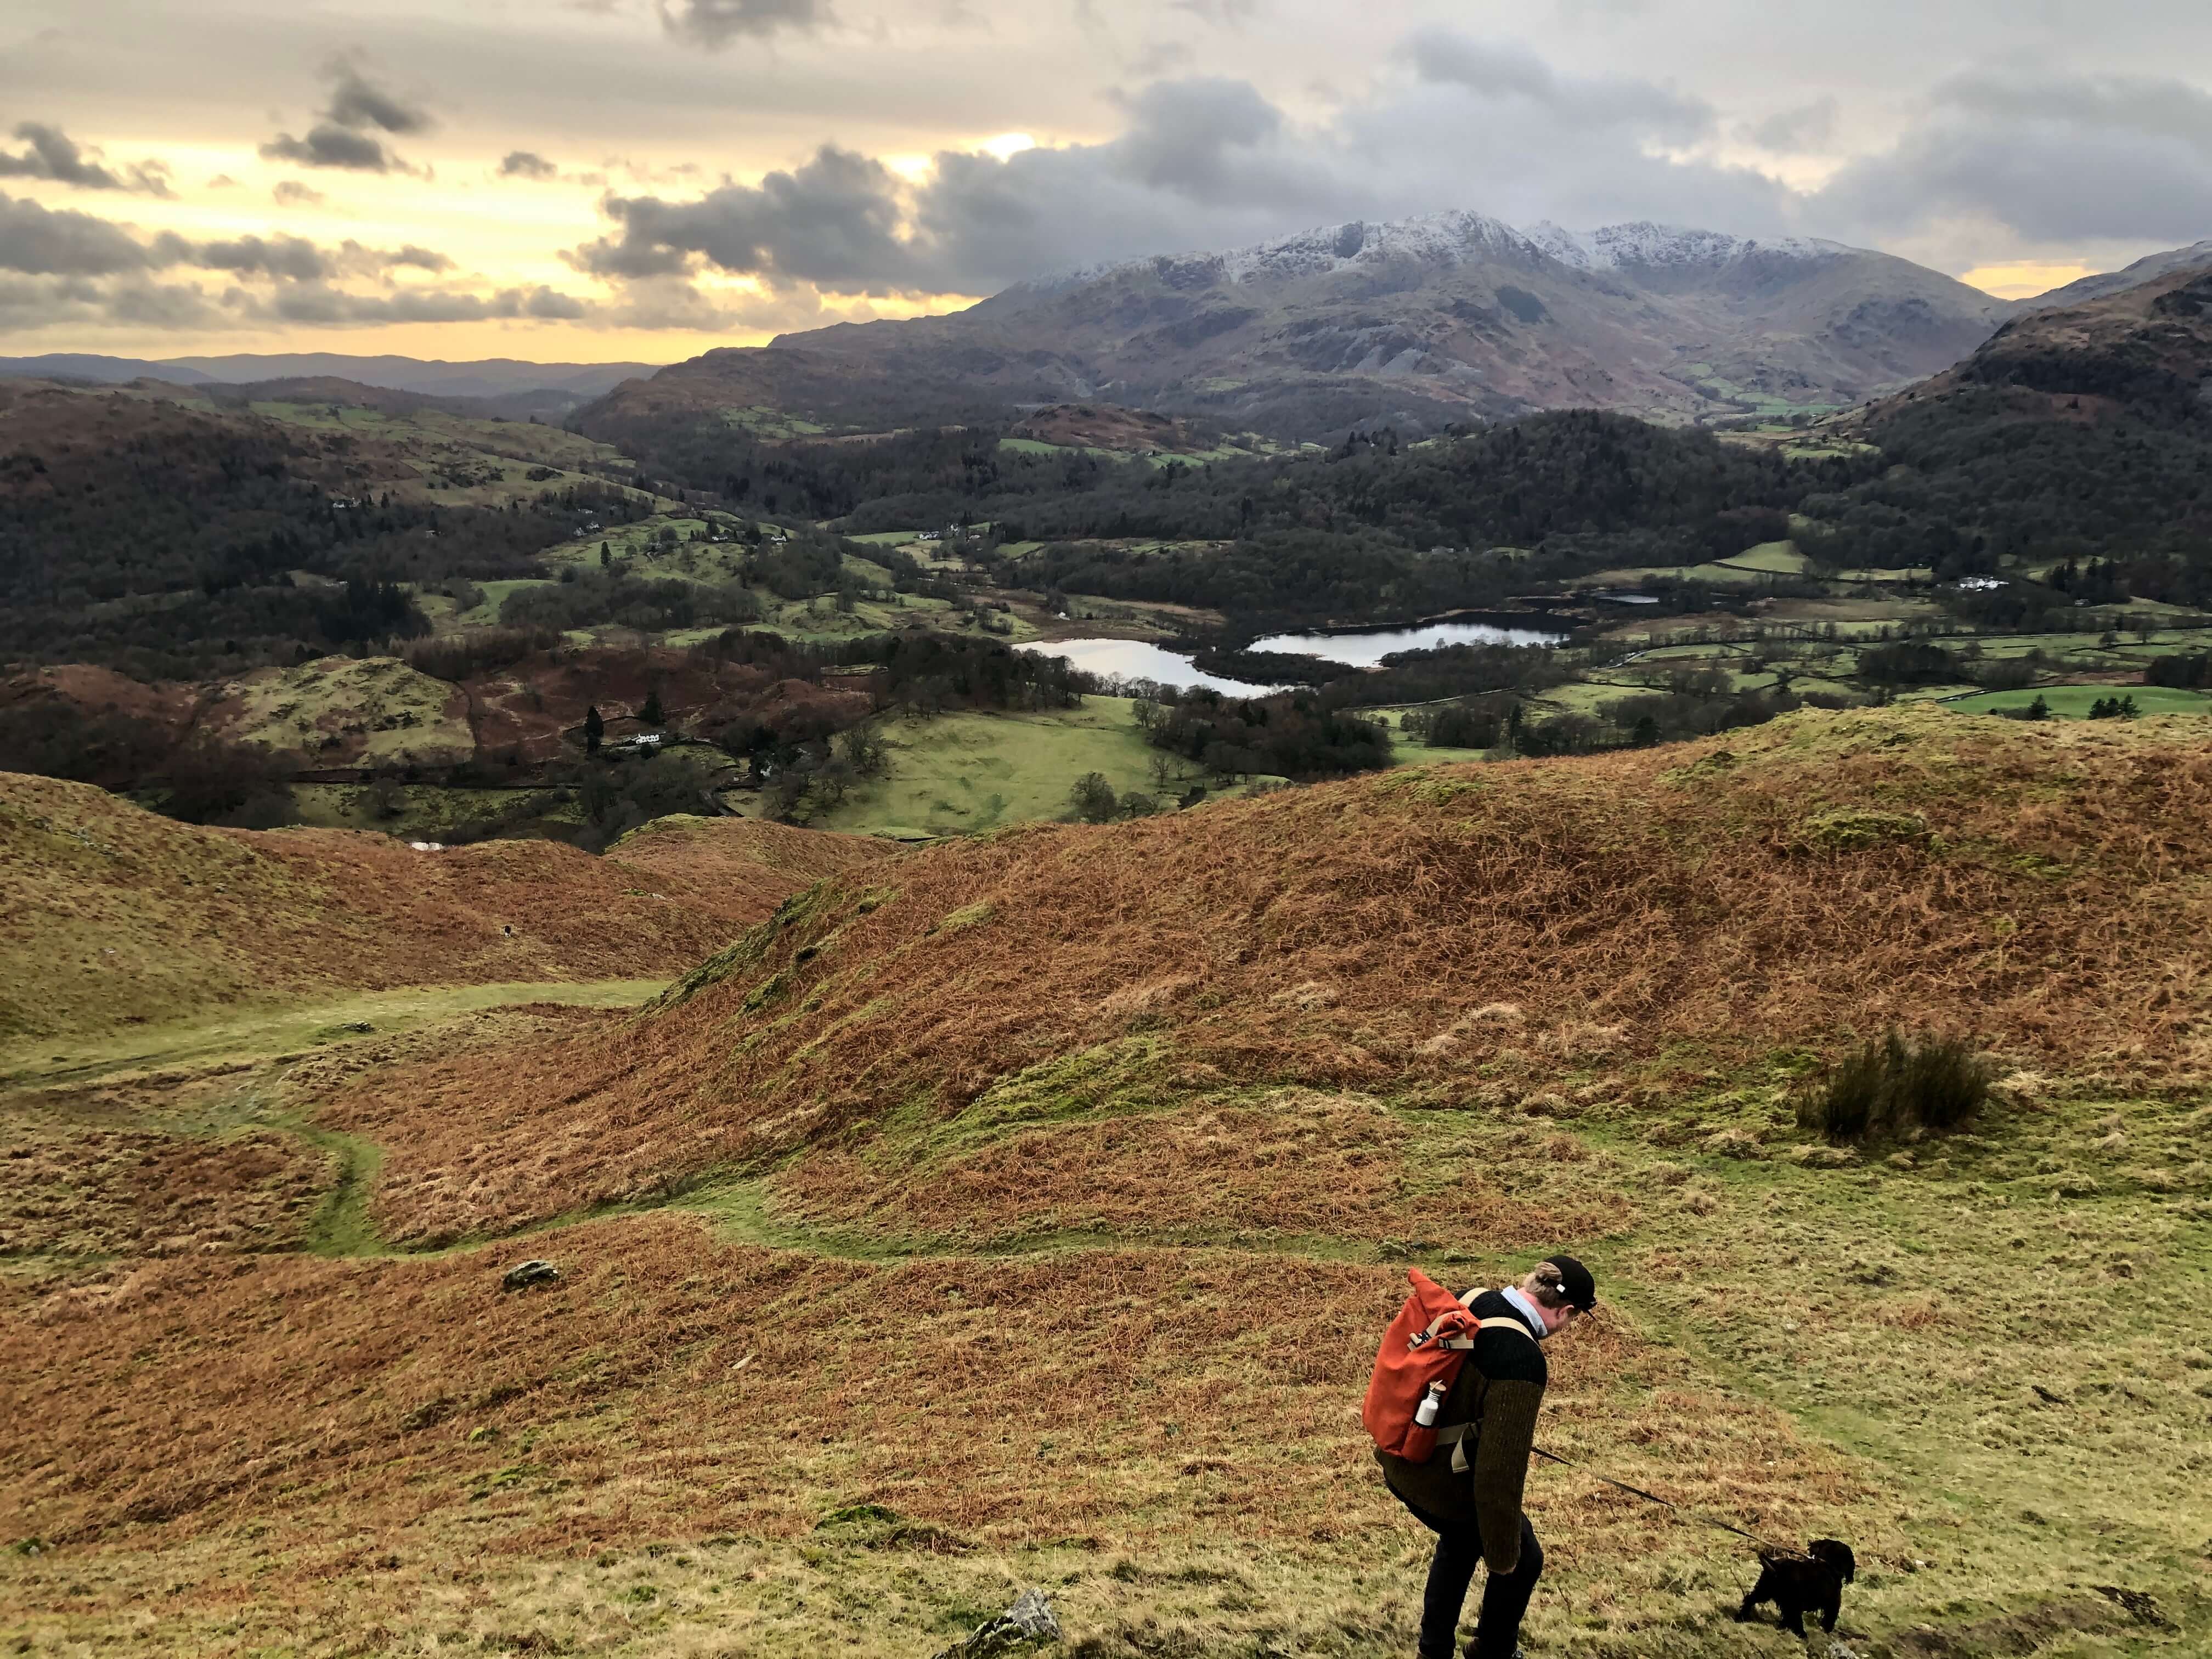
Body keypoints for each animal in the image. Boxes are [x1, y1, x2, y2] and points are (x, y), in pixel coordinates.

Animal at [1734, 1539, 1858, 1645]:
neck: (1828, 1563)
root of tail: (1778, 1567)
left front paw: (1783, 1626)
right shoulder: (1833, 1603)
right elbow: (1830, 1618)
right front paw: (1827, 1630)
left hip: (1764, 1591)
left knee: (1750, 1599)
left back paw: (1741, 1617)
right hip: (1792, 1601)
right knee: (1796, 1619)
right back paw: (1802, 1634)